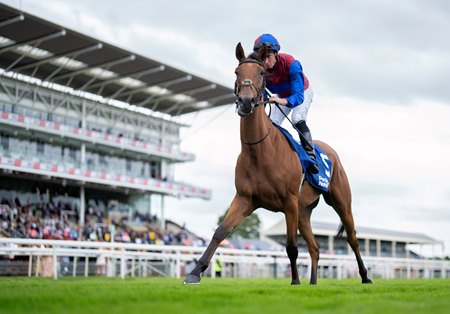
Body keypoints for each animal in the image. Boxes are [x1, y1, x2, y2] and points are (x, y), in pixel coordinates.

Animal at [183, 43, 372, 286]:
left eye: (261, 73)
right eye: (237, 72)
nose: (246, 101)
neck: (260, 151)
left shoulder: (289, 201)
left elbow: (291, 246)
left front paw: (295, 281)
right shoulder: (245, 198)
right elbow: (221, 231)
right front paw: (194, 272)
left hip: (340, 202)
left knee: (352, 238)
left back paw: (365, 276)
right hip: (303, 212)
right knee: (315, 247)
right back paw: (313, 283)